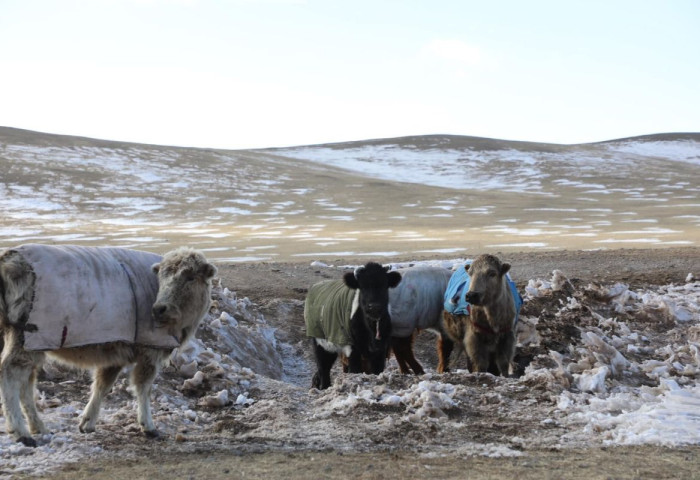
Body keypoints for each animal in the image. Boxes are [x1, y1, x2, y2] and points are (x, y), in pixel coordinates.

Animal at [0, 246, 216, 448]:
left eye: (190, 277)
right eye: (161, 276)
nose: (159, 309)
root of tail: (9, 260)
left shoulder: (117, 351)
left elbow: (102, 384)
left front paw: (87, 422)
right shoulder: (150, 350)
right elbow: (143, 387)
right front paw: (148, 425)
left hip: (32, 341)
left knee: (27, 382)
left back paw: (38, 427)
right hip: (25, 333)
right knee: (9, 372)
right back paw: (20, 431)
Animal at [304, 262, 402, 390]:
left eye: (385, 285)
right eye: (362, 287)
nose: (374, 307)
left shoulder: (381, 350)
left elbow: (377, 371)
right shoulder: (352, 349)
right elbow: (355, 370)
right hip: (319, 342)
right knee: (323, 368)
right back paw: (323, 387)